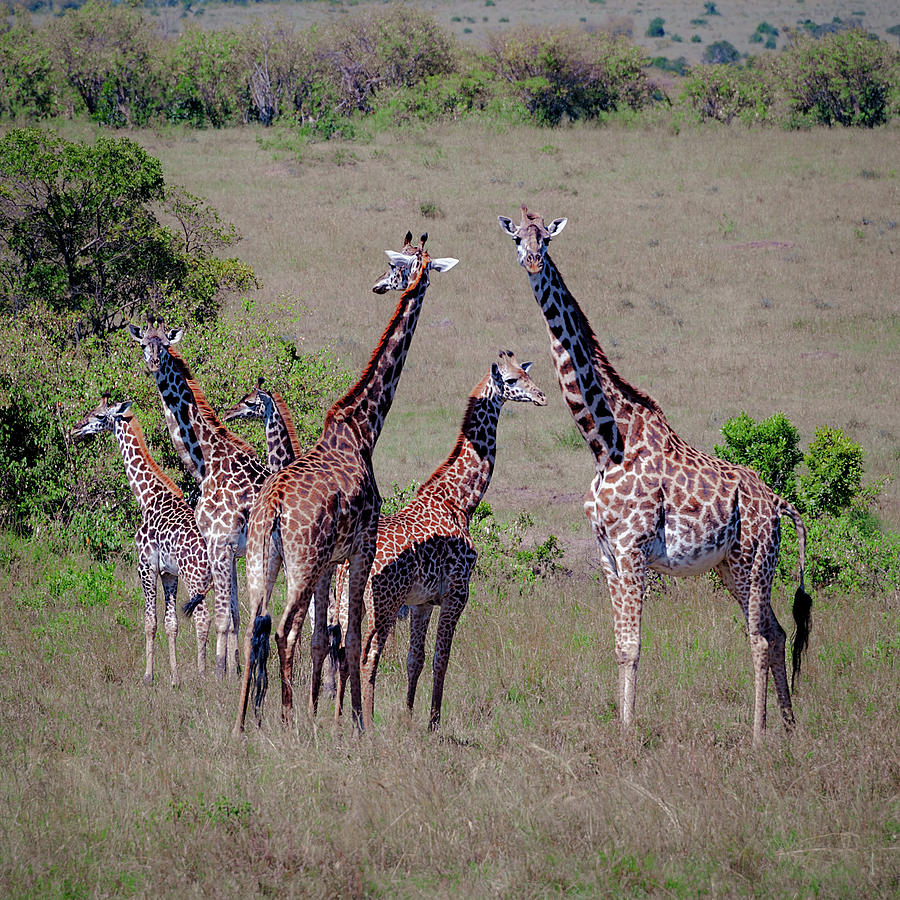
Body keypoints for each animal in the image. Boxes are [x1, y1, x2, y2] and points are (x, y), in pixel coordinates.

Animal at [71, 398, 212, 684]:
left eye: (99, 416)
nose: (76, 429)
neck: (147, 497)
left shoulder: (145, 564)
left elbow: (150, 621)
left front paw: (148, 676)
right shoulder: (169, 572)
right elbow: (171, 624)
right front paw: (174, 678)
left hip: (195, 576)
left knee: (204, 618)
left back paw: (203, 674)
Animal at [128, 320, 270, 680]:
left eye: (165, 346)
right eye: (143, 344)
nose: (154, 363)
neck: (207, 461)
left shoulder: (219, 543)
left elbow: (221, 617)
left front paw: (218, 675)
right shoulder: (229, 549)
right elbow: (234, 615)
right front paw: (234, 671)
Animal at [234, 230, 458, 732]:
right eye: (398, 265)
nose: (379, 285)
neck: (363, 427)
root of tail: (272, 508)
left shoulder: (330, 562)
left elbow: (324, 639)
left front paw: (327, 717)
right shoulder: (362, 547)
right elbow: (352, 637)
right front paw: (357, 724)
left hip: (263, 560)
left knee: (254, 624)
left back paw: (242, 724)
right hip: (301, 561)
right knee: (283, 629)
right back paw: (287, 720)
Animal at [338, 348, 544, 728]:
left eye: (528, 374)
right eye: (511, 380)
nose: (541, 396)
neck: (460, 500)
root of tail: (347, 566)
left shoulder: (422, 601)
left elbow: (415, 659)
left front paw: (408, 717)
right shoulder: (457, 593)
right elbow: (441, 658)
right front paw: (433, 722)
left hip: (345, 603)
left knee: (343, 650)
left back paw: (339, 717)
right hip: (383, 606)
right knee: (368, 655)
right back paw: (368, 723)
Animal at [496, 207, 812, 740]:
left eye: (548, 240)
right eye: (517, 238)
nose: (534, 262)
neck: (606, 442)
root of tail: (779, 503)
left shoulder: (632, 547)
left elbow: (633, 646)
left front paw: (627, 735)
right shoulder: (606, 552)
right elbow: (619, 645)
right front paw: (621, 727)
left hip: (754, 559)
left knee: (760, 637)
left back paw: (757, 735)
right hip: (733, 566)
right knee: (776, 628)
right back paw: (788, 728)